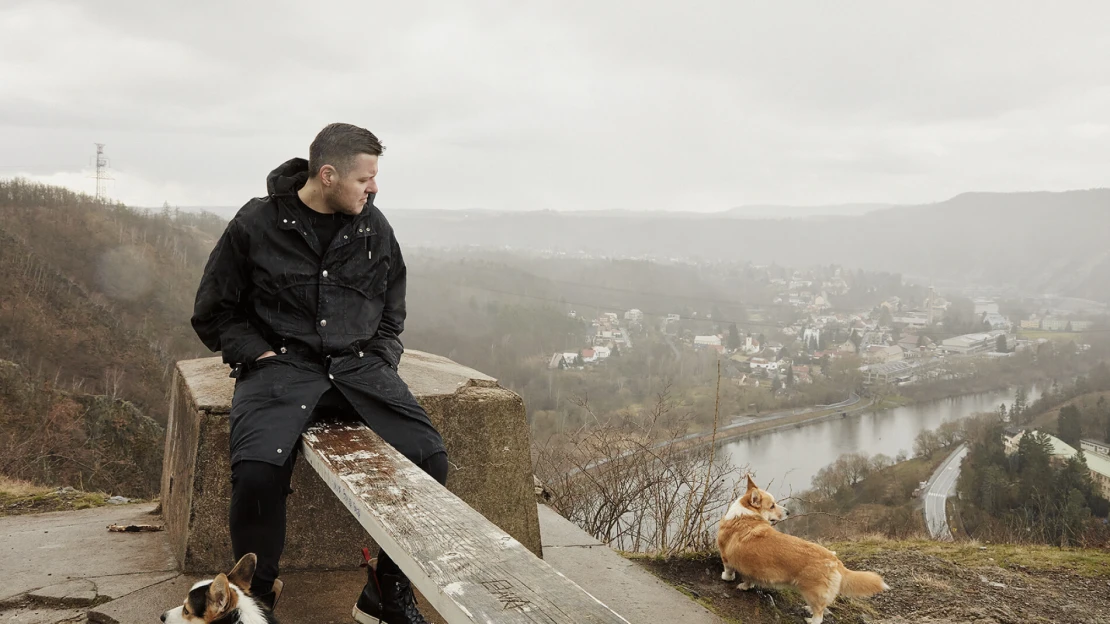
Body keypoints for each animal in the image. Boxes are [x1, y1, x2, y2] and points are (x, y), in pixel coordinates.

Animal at [714, 472, 888, 617]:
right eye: (772, 505)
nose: (789, 512)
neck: (746, 514)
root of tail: (835, 561)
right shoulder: (750, 569)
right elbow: (749, 579)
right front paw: (745, 586)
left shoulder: (726, 557)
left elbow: (728, 570)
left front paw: (727, 578)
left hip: (811, 592)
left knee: (819, 613)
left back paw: (810, 619)